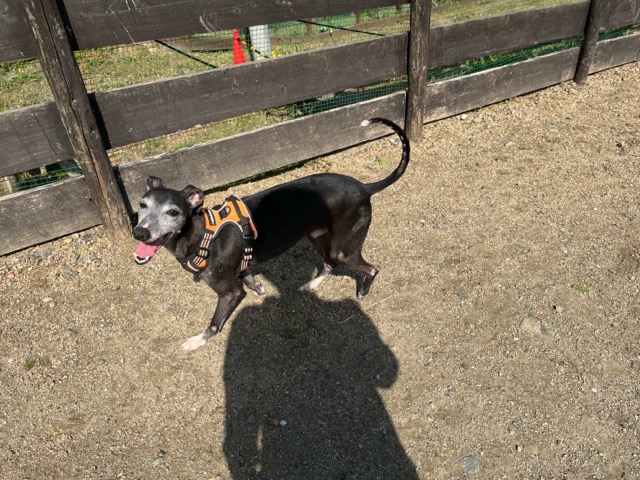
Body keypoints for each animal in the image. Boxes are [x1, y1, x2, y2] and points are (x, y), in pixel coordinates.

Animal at [133, 117, 410, 350]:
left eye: (173, 211)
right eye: (142, 205)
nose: (139, 233)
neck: (203, 236)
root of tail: (364, 187)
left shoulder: (228, 292)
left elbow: (214, 322)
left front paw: (197, 340)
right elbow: (250, 278)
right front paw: (257, 287)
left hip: (344, 247)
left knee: (370, 268)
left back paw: (363, 291)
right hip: (318, 236)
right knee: (329, 263)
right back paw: (311, 284)